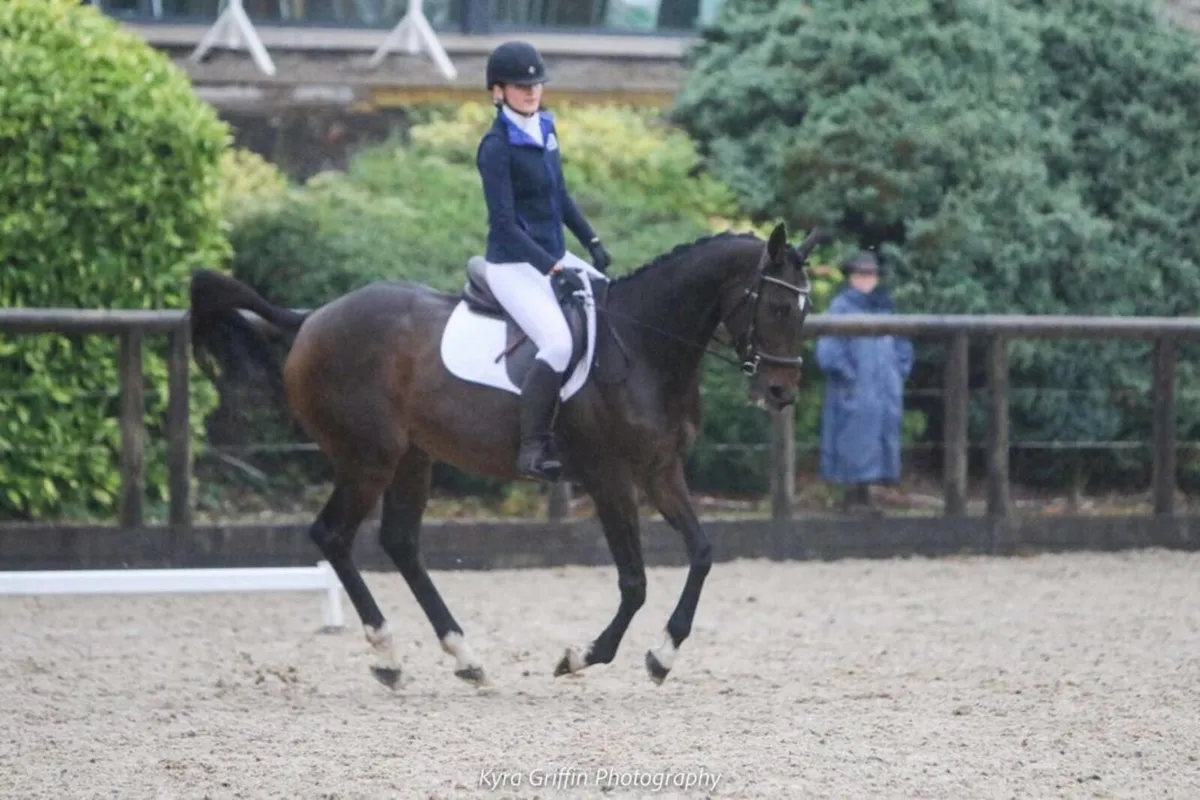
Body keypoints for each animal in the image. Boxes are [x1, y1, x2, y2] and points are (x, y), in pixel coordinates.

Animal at [188, 221, 822, 689]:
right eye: (778, 308)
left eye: (805, 310)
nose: (781, 393)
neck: (644, 347)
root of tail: (313, 316)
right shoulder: (610, 478)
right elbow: (635, 581)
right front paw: (583, 655)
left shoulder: (661, 471)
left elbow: (703, 553)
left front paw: (662, 656)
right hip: (368, 457)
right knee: (333, 536)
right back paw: (388, 655)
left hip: (413, 458)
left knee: (399, 542)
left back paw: (464, 658)